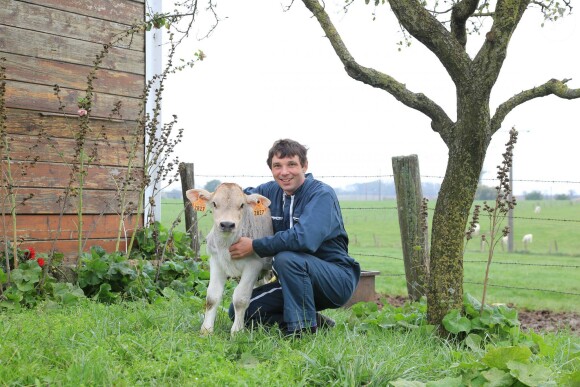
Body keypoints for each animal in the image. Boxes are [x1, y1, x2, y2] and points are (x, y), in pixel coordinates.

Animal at [187, 183, 276, 334]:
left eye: (242, 205)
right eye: (214, 203)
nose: (227, 224)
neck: (226, 246)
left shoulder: (253, 265)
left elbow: (240, 298)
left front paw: (237, 331)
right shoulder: (216, 261)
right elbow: (212, 296)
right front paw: (206, 330)